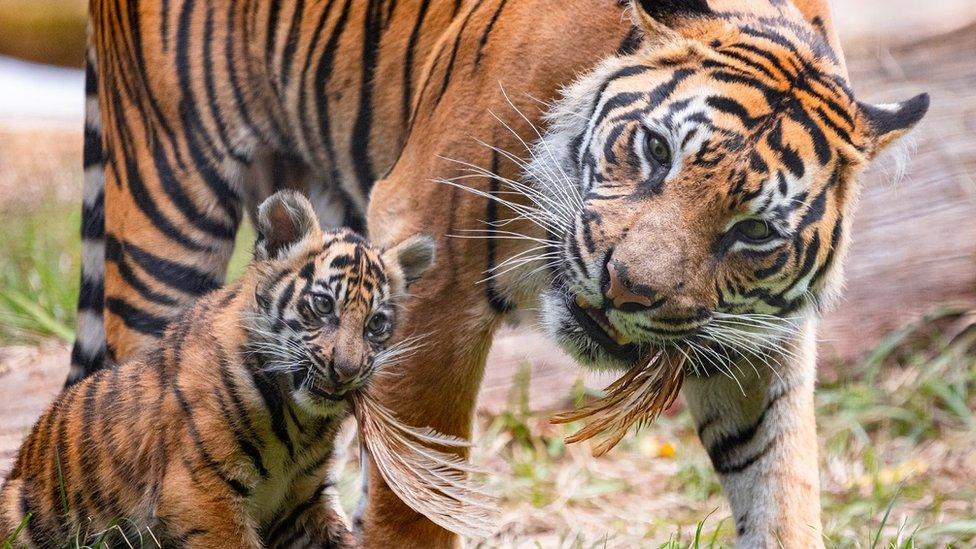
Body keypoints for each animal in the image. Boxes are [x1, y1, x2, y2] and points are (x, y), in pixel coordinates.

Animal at [72, 1, 928, 548]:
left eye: (753, 231)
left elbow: (780, 488)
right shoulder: (430, 265)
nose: (628, 287)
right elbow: (416, 502)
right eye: (654, 151)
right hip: (168, 199)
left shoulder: (753, 339)